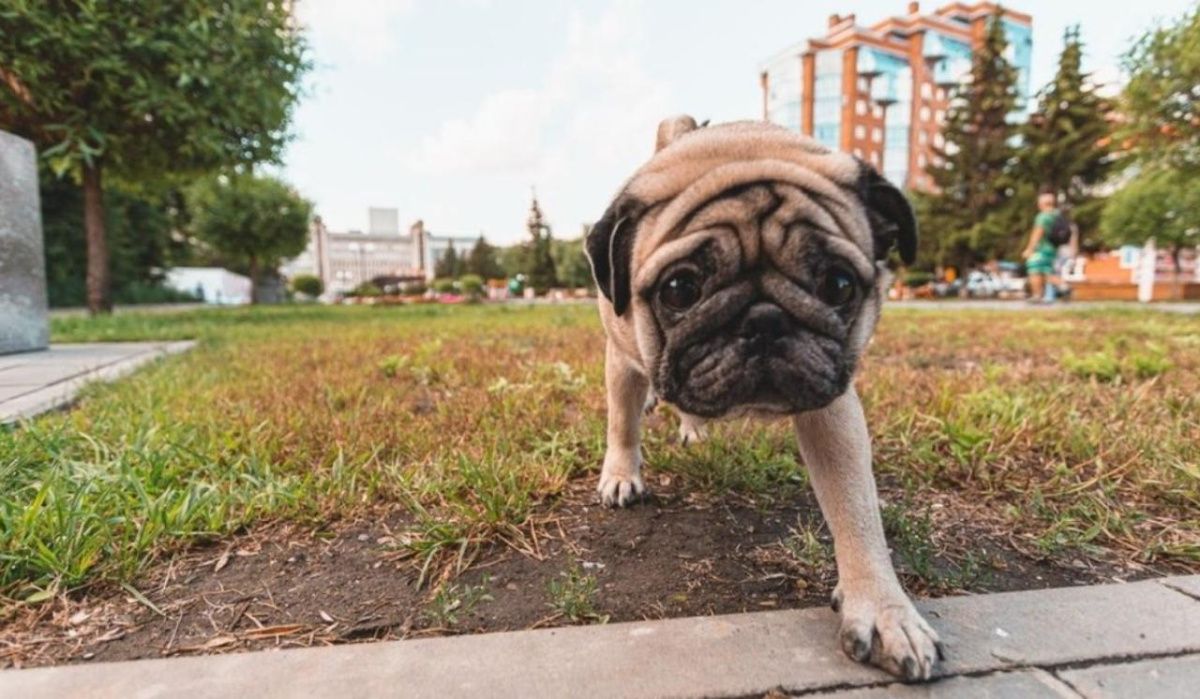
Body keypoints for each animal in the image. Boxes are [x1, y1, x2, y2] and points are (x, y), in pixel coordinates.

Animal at [585, 117, 940, 682]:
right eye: (680, 290)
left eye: (838, 285)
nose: (765, 320)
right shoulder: (621, 357)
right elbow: (622, 421)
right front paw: (621, 475)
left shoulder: (832, 405)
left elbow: (856, 507)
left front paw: (884, 609)